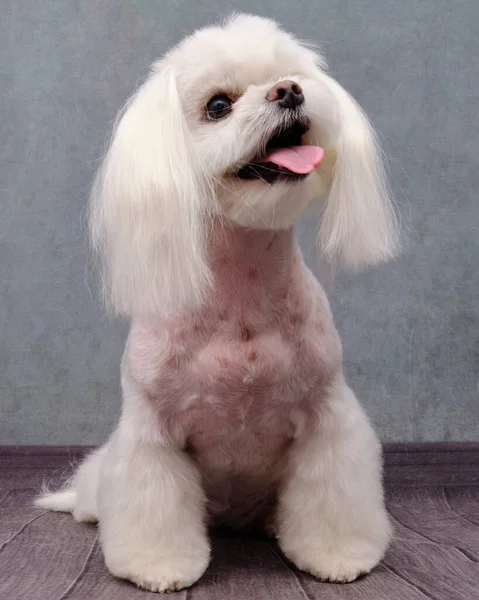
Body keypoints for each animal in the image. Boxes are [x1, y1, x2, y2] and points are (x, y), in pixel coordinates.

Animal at [35, 12, 400, 592]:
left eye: (291, 76)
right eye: (218, 105)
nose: (289, 91)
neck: (242, 296)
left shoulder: (327, 418)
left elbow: (332, 495)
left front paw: (337, 553)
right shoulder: (153, 436)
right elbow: (153, 503)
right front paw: (158, 564)